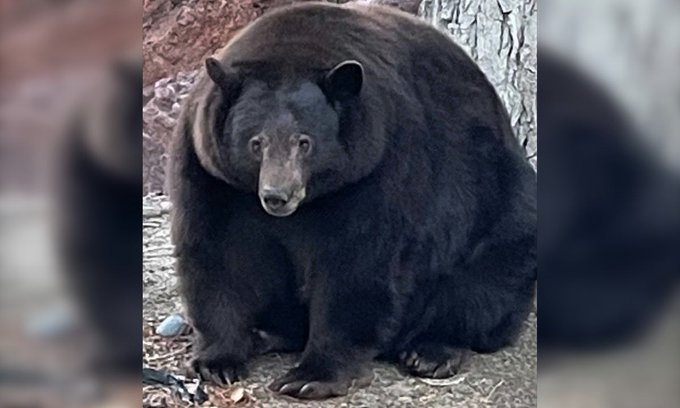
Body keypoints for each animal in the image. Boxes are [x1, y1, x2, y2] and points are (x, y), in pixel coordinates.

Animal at [169, 2, 536, 400]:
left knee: (485, 282)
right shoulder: (211, 173)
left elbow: (358, 264)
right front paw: (218, 361)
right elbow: (219, 253)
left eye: (305, 142)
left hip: (498, 207)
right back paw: (267, 333)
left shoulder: (379, 166)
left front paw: (310, 376)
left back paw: (431, 351)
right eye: (256, 142)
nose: (277, 196)